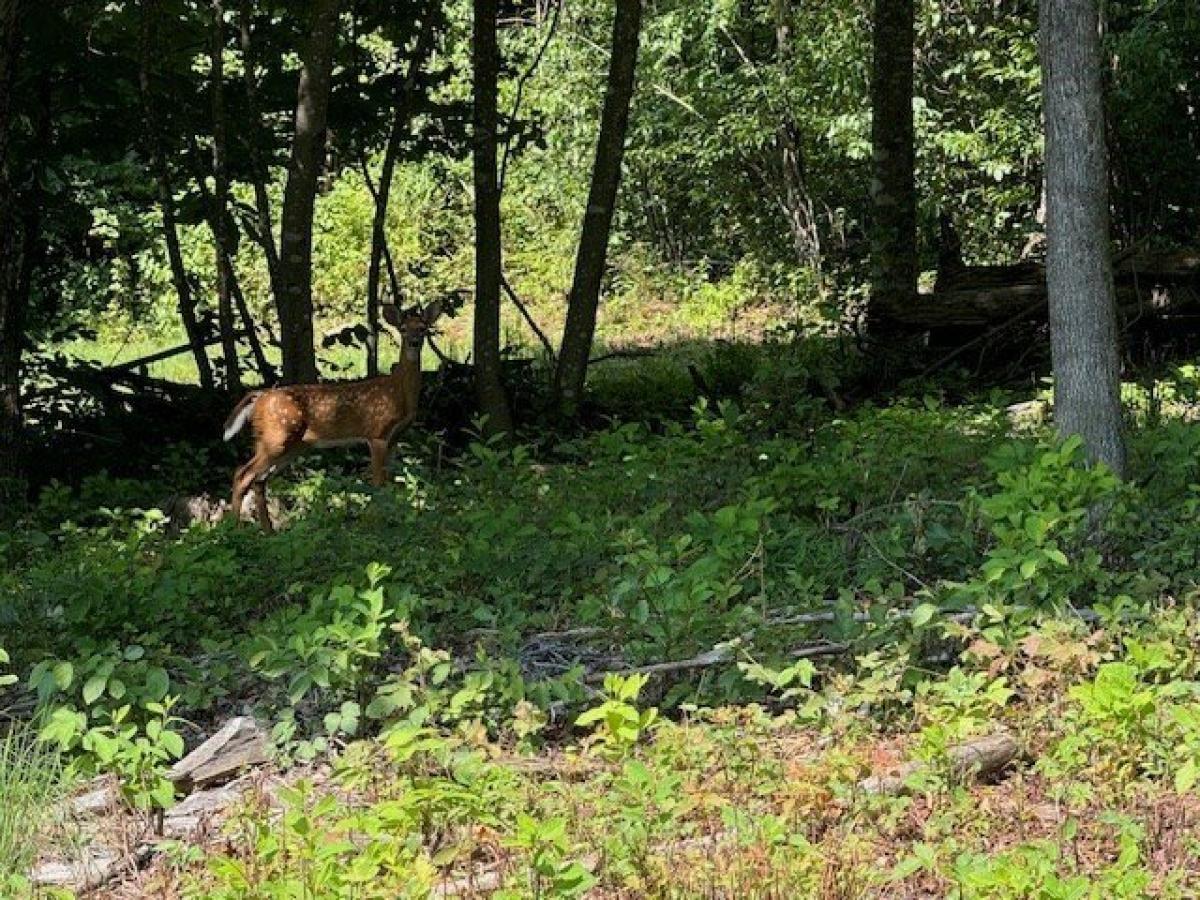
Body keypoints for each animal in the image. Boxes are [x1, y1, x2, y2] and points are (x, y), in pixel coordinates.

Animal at [223, 303, 444, 532]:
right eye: (402, 328)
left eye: (423, 328)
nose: (414, 342)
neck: (398, 393)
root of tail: (259, 397)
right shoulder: (377, 433)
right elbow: (378, 483)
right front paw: (375, 523)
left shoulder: (395, 438)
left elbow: (388, 482)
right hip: (276, 437)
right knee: (243, 474)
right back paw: (233, 529)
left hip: (287, 444)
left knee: (259, 480)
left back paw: (269, 531)